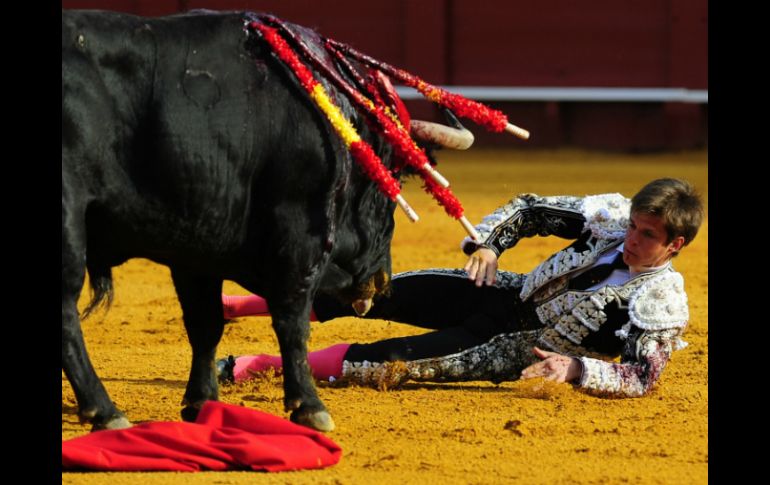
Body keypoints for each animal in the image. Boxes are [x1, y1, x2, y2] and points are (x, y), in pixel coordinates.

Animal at [63, 9, 404, 430]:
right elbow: (292, 320)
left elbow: (205, 323)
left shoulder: (194, 244)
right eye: (388, 181)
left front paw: (201, 403)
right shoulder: (298, 234)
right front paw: (309, 406)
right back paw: (105, 411)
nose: (383, 279)